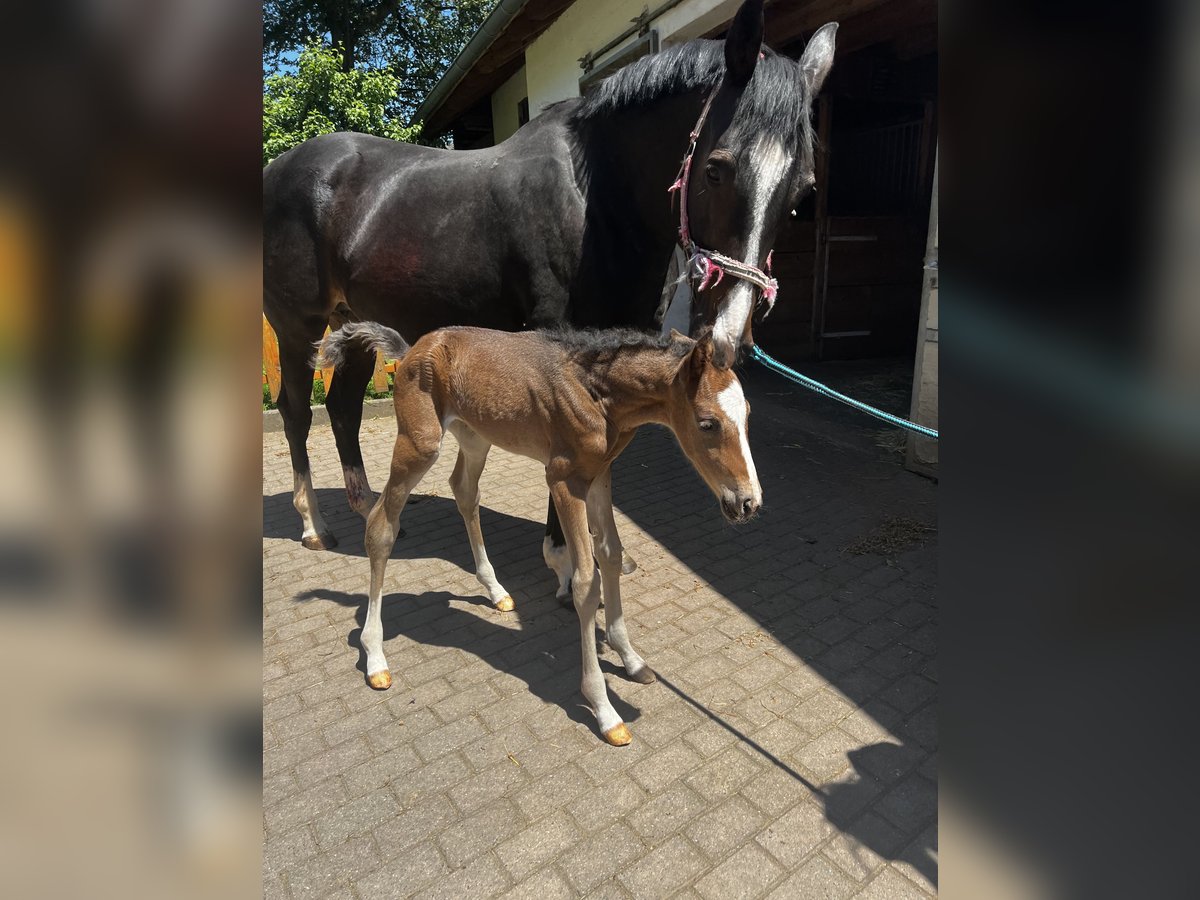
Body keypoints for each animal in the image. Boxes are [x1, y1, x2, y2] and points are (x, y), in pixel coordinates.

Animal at [316, 324, 758, 748]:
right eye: (707, 423)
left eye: (748, 415)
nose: (748, 503)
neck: (597, 392)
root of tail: (411, 350)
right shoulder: (563, 479)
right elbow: (585, 582)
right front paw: (604, 709)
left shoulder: (599, 475)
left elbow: (611, 555)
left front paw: (630, 659)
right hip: (420, 443)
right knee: (381, 525)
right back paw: (375, 656)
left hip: (475, 436)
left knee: (464, 491)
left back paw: (495, 590)